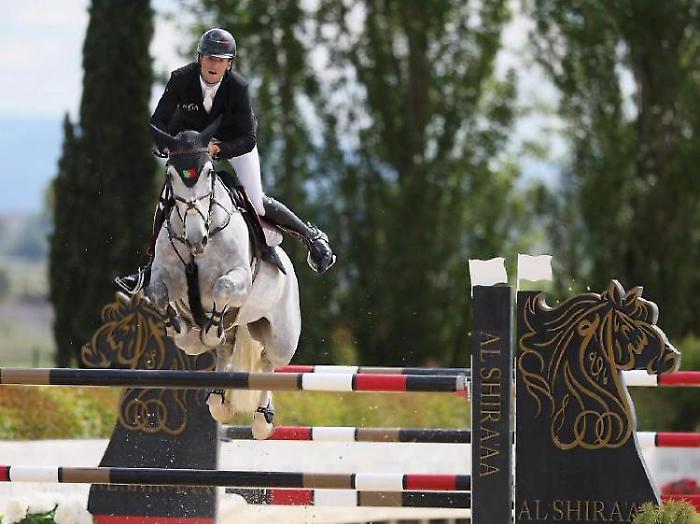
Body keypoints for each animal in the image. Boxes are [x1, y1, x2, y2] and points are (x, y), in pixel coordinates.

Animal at [144, 118, 301, 439]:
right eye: (170, 175)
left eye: (209, 172)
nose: (196, 239)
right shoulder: (165, 277)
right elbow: (158, 295)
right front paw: (177, 324)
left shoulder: (238, 279)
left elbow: (222, 287)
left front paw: (212, 327)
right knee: (224, 351)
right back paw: (219, 400)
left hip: (282, 338)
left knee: (268, 362)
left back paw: (262, 419)